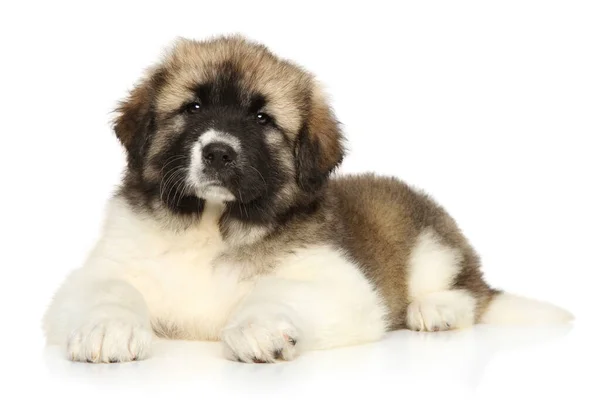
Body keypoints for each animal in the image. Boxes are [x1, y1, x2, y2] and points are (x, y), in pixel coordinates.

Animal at [42, 36, 572, 364]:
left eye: (262, 119)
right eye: (192, 108)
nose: (218, 152)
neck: (213, 226)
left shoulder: (341, 283)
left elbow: (274, 290)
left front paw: (258, 326)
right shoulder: (99, 268)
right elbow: (112, 289)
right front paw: (107, 329)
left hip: (431, 249)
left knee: (472, 292)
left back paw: (436, 310)